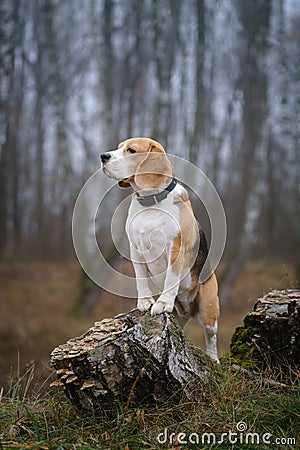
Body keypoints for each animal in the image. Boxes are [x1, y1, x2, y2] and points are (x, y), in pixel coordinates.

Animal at [101, 137, 220, 362]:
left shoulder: (174, 250)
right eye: (119, 147)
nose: (103, 156)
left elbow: (171, 280)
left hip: (209, 310)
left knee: (211, 338)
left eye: (131, 150)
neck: (151, 203)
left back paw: (214, 358)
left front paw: (162, 303)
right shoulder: (135, 250)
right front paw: (146, 301)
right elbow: (140, 279)